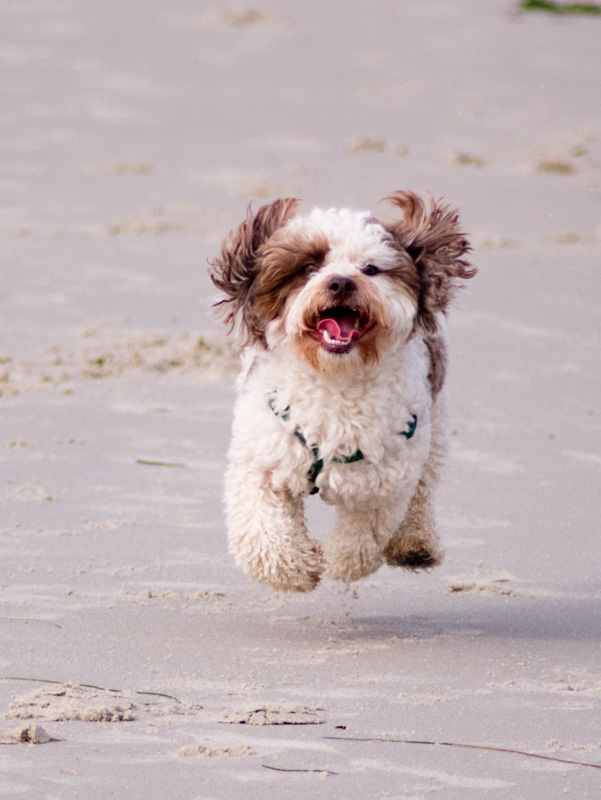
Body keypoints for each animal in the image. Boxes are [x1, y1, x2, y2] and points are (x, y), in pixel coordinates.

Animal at [209, 191, 476, 592]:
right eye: (309, 267)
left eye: (371, 269)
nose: (341, 283)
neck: (335, 380)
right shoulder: (263, 461)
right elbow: (264, 538)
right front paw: (298, 567)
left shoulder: (382, 483)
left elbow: (360, 542)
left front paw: (333, 560)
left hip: (435, 426)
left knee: (424, 489)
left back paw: (414, 544)